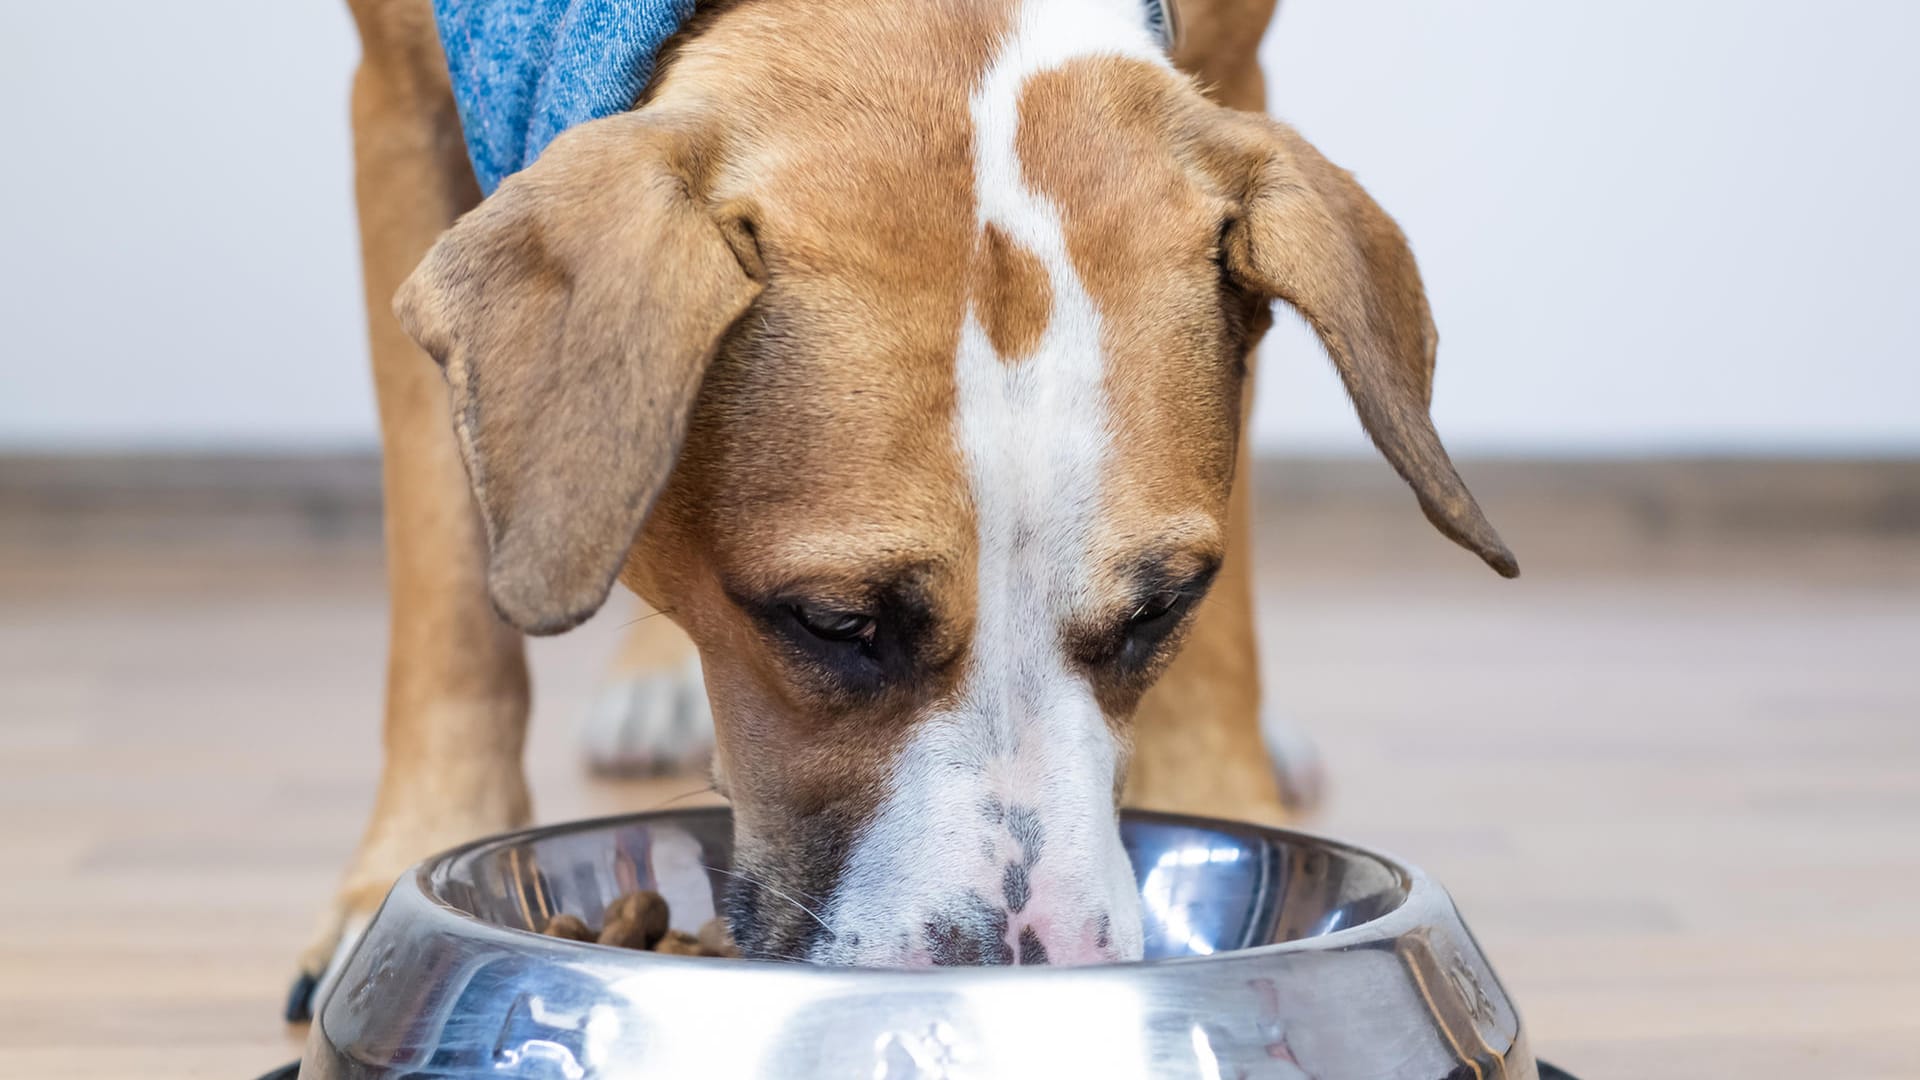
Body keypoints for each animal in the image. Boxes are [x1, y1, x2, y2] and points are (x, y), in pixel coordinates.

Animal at [303, 0, 1512, 999]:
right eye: (833, 623)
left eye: (1162, 609)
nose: (1026, 970)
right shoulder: (402, 105)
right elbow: (448, 583)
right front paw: (401, 865)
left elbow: (1225, 637)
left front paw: (1233, 792)